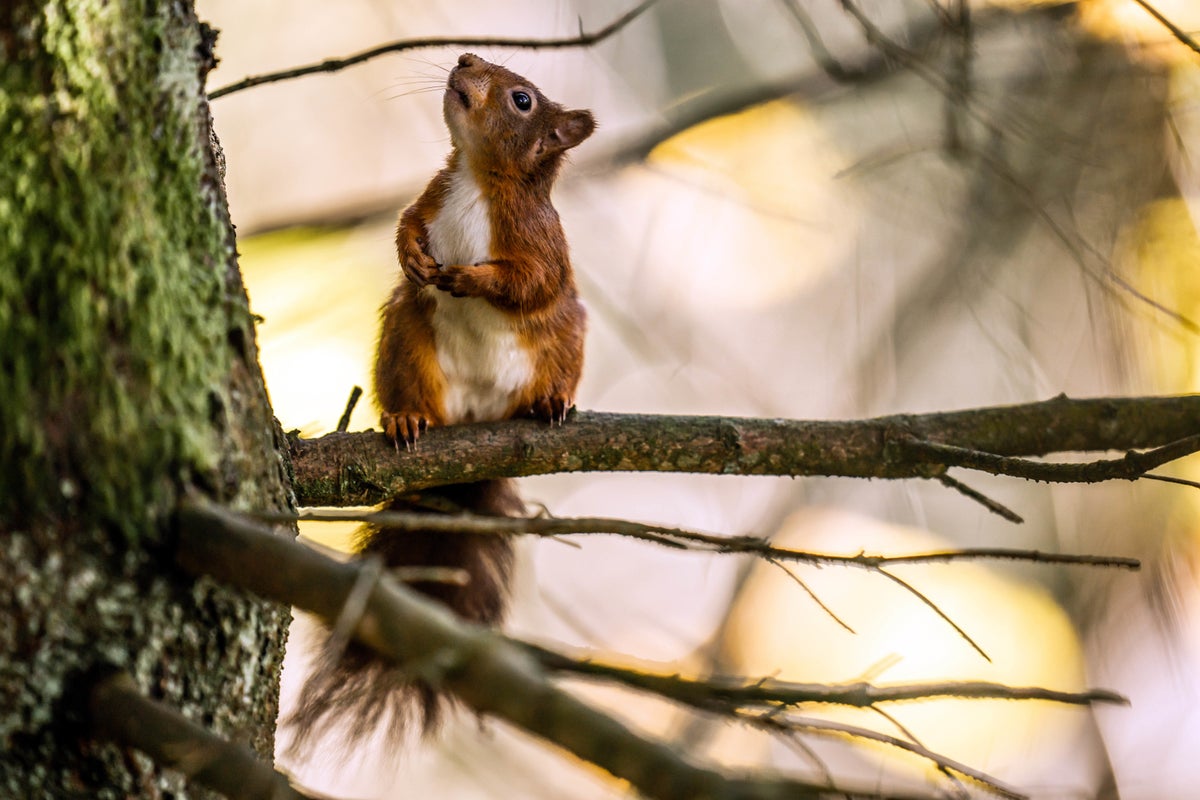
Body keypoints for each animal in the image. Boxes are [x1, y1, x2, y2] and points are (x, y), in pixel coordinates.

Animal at [288, 53, 594, 753]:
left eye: (522, 99)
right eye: (477, 59)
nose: (463, 60)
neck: (477, 178)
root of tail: (476, 427)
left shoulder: (540, 243)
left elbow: (528, 281)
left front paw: (473, 279)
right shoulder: (430, 197)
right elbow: (406, 223)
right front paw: (410, 252)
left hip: (563, 339)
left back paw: (549, 405)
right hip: (406, 336)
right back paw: (407, 418)